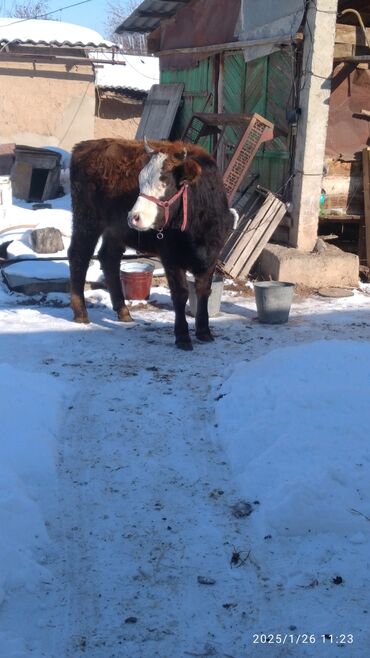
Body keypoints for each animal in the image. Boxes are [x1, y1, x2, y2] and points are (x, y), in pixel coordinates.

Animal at [68, 137, 233, 348]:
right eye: (140, 181)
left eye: (165, 183)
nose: (133, 217)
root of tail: (85, 145)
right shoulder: (171, 256)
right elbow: (180, 293)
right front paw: (182, 336)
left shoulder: (211, 256)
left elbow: (204, 291)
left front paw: (204, 331)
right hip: (87, 219)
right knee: (79, 256)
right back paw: (81, 312)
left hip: (114, 230)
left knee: (109, 258)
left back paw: (123, 311)